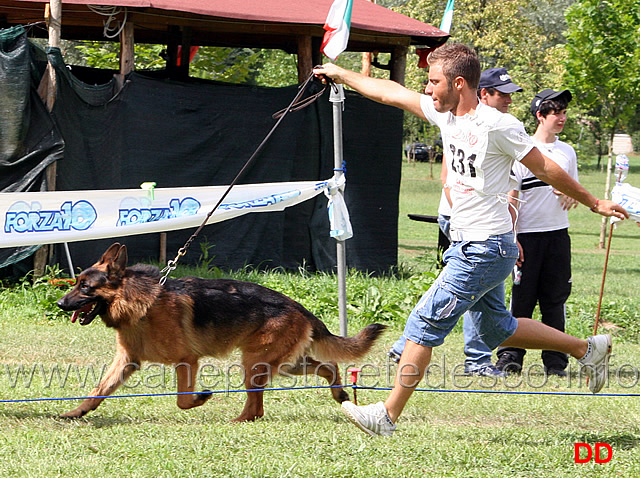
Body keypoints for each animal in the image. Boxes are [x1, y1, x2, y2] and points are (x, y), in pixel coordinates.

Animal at [56, 245, 384, 420]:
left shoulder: (187, 361)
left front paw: (201, 398)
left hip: (255, 364)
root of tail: (300, 308)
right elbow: (98, 391)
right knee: (328, 366)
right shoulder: (126, 362)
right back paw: (340, 393)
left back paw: (238, 420)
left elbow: (183, 399)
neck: (140, 304)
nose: (60, 303)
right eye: (76, 283)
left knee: (256, 406)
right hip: (285, 364)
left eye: (85, 287)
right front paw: (77, 413)